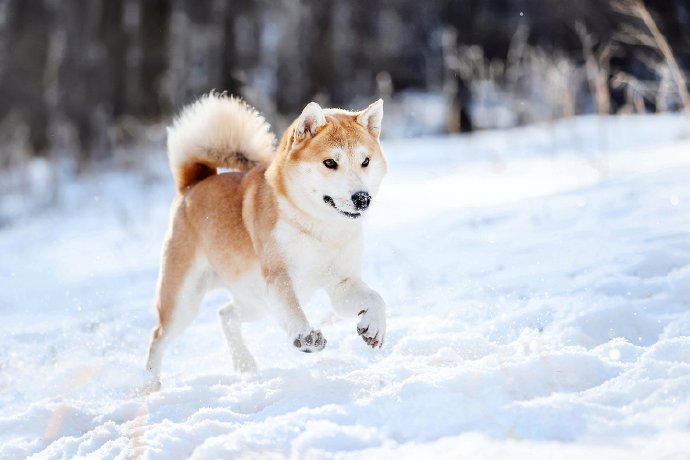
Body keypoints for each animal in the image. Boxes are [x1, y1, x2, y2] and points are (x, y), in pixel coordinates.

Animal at [144, 91, 388, 386]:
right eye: (330, 162)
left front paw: (374, 327)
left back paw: (245, 364)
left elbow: (376, 298)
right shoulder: (279, 276)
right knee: (158, 338)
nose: (362, 198)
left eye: (365, 161)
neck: (320, 228)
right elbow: (293, 309)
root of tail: (193, 184)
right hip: (184, 301)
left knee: (225, 315)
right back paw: (149, 385)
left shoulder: (342, 283)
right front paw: (306, 337)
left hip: (254, 303)